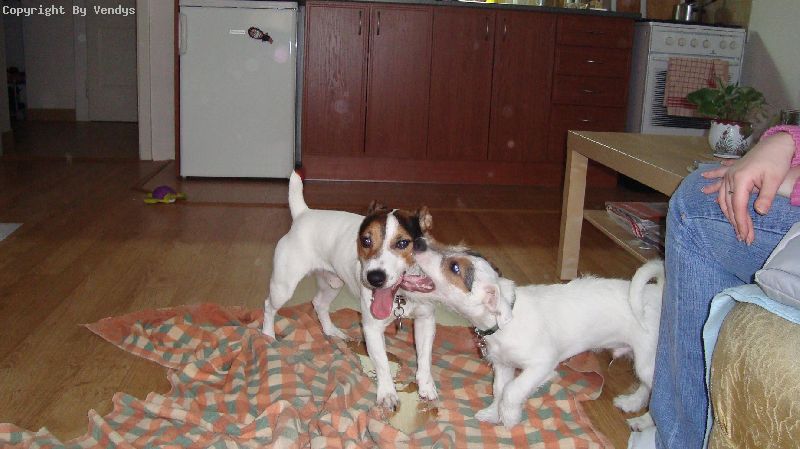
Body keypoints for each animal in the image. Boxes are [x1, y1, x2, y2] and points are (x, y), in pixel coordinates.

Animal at [262, 171, 437, 409]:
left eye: (402, 243)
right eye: (365, 240)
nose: (374, 278)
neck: (401, 295)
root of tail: (303, 214)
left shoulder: (425, 320)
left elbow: (424, 358)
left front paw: (426, 386)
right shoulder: (372, 327)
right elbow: (382, 363)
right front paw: (387, 393)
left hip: (333, 283)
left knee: (319, 304)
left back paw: (331, 331)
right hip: (284, 286)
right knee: (269, 306)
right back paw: (267, 334)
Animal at [412, 241, 664, 428]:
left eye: (454, 268)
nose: (418, 244)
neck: (506, 320)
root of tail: (658, 292)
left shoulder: (542, 365)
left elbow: (512, 391)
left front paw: (509, 417)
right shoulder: (503, 366)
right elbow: (499, 390)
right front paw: (494, 413)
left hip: (646, 361)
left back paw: (644, 421)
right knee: (647, 387)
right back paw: (632, 403)